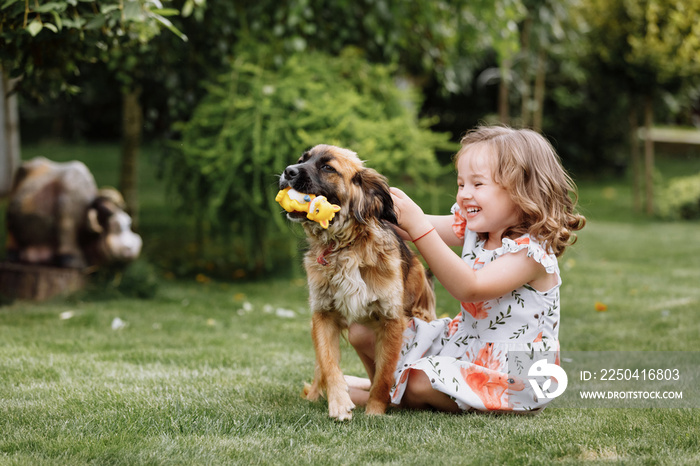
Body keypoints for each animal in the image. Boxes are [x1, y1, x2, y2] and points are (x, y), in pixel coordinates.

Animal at [278, 145, 432, 418]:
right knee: (319, 367)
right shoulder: (323, 315)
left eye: (327, 167)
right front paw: (339, 403)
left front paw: (374, 412)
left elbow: (383, 375)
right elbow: (329, 364)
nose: (288, 171)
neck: (345, 246)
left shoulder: (391, 320)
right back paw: (315, 395)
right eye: (301, 160)